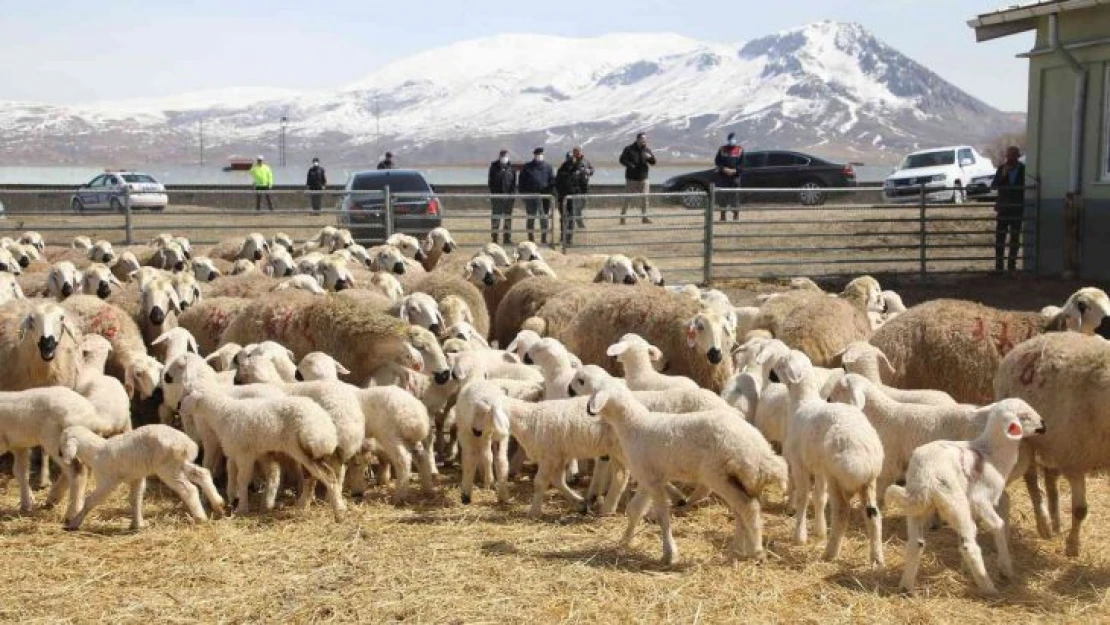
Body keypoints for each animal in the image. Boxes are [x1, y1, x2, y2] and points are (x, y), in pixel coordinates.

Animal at [59, 424, 228, 530]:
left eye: (63, 440)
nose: (60, 454)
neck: (95, 451)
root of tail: (189, 444)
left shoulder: (107, 481)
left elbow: (90, 501)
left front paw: (74, 523)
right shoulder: (136, 477)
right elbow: (135, 499)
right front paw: (137, 523)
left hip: (167, 467)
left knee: (189, 489)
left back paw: (200, 517)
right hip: (179, 464)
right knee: (203, 474)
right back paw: (218, 504)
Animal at [586, 384, 785, 563]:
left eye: (595, 393)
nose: (588, 409)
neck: (635, 424)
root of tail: (761, 450)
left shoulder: (652, 481)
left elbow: (662, 515)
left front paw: (669, 553)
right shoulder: (648, 477)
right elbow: (635, 510)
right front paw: (625, 541)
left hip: (718, 474)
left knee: (748, 507)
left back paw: (755, 550)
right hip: (738, 478)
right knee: (741, 510)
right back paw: (738, 549)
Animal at [768, 350, 879, 568]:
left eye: (780, 363)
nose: (769, 375)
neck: (801, 403)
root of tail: (864, 457)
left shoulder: (800, 464)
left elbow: (803, 497)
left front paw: (799, 536)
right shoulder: (818, 468)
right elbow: (819, 497)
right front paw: (819, 531)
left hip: (837, 477)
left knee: (842, 511)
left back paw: (830, 553)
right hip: (869, 482)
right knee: (873, 515)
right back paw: (876, 557)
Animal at [879, 401, 1043, 595]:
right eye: (1025, 416)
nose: (1043, 425)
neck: (991, 454)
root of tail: (926, 476)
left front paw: (966, 569)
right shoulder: (980, 498)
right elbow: (998, 525)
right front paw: (1005, 569)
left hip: (918, 506)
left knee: (916, 543)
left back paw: (906, 587)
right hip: (954, 501)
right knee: (969, 546)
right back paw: (988, 588)